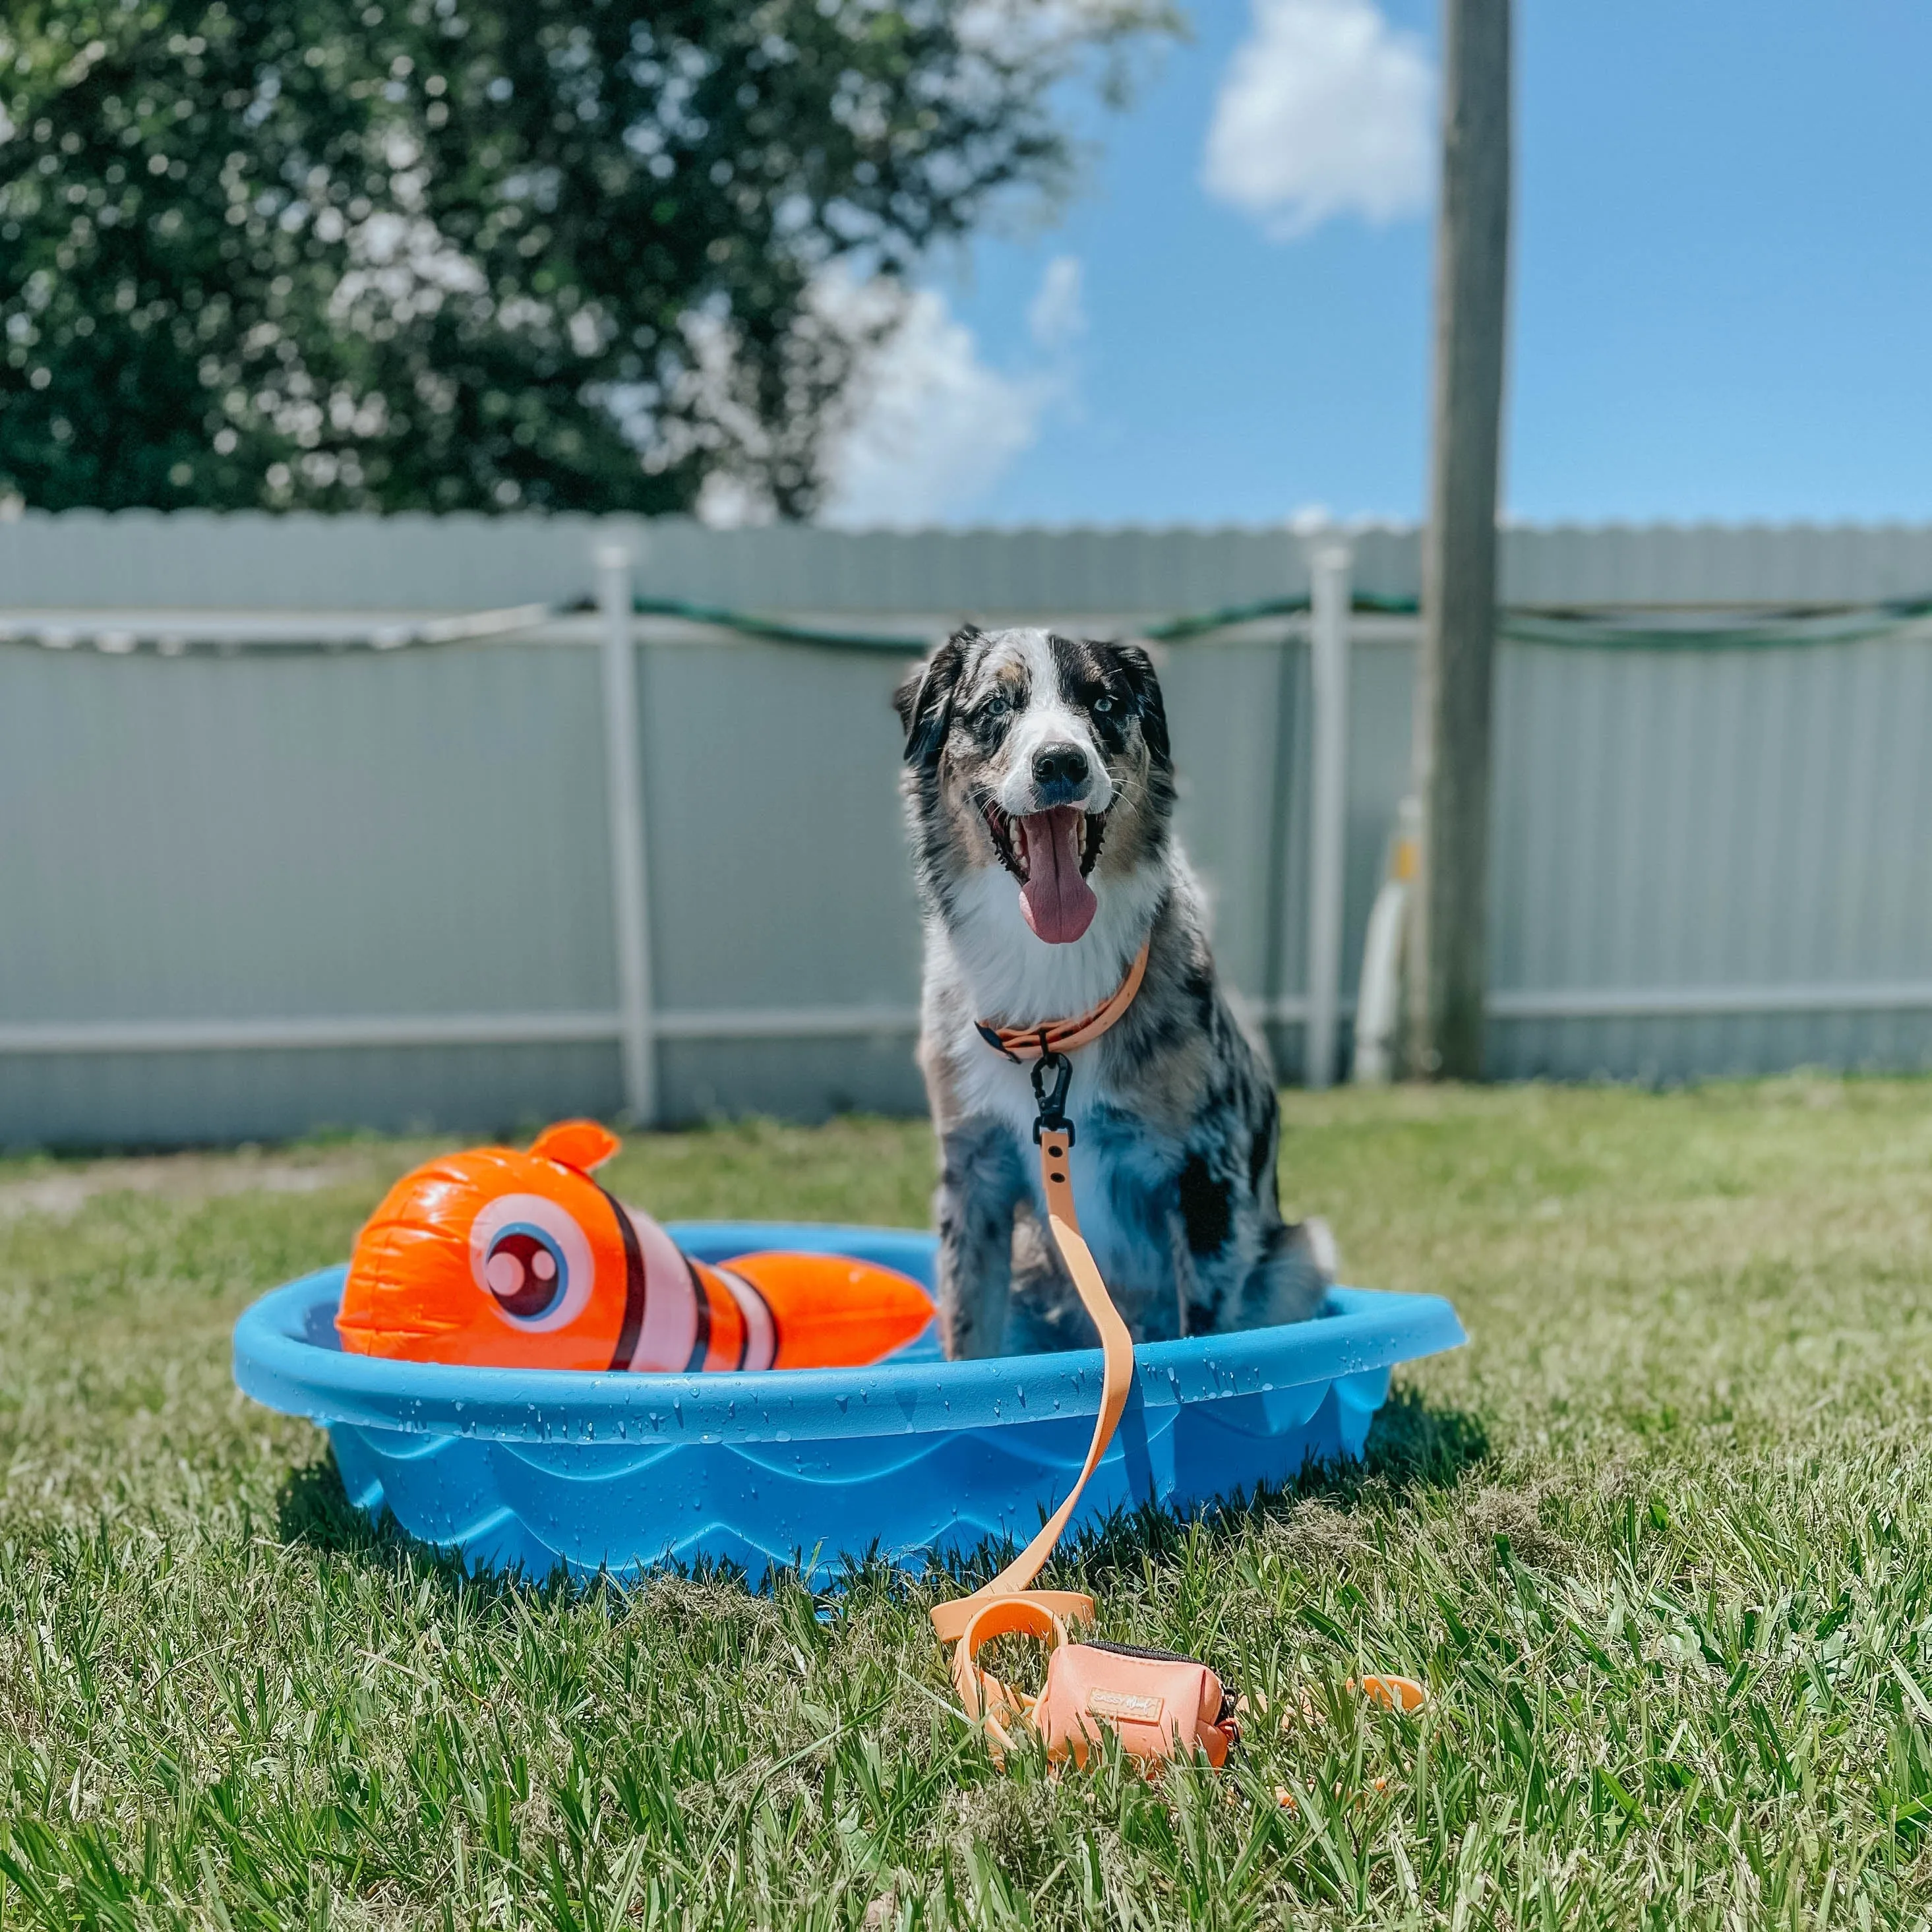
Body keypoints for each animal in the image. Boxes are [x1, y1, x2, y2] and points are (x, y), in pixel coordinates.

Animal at [892, 622, 1329, 1360]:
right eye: (995, 706)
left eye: (1103, 704)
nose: (1060, 763)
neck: (1050, 973)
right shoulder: (975, 1172)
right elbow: (969, 1336)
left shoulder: (1205, 1180)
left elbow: (1202, 1336)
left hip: (1303, 1254)